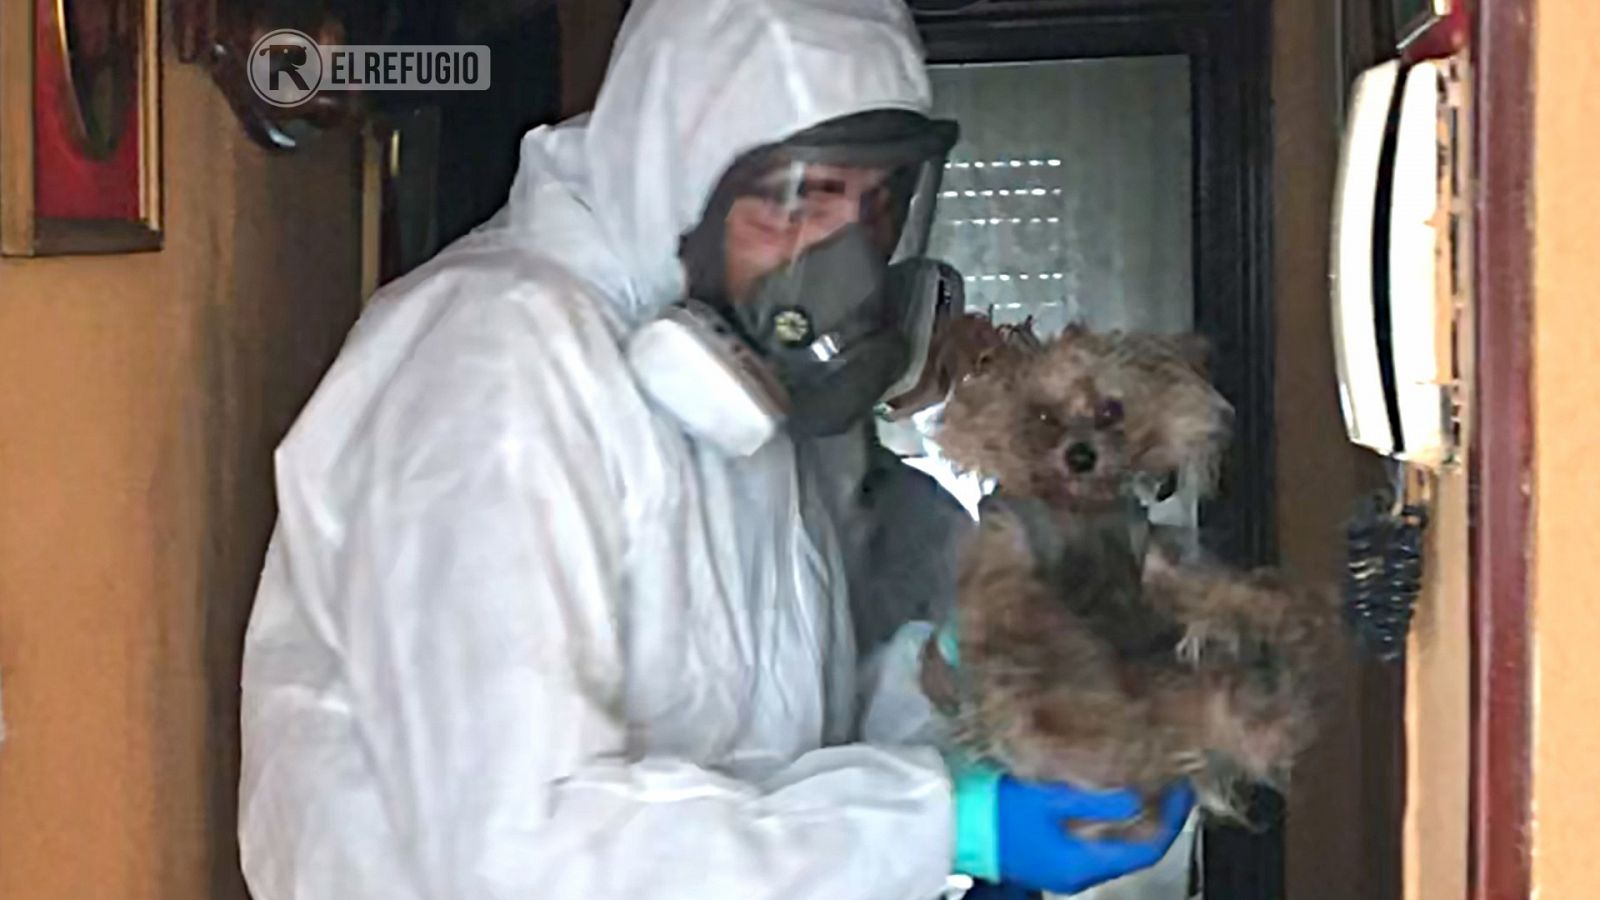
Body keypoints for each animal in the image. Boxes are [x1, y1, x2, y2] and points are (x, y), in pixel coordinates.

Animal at [921, 320, 1344, 832]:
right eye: (1043, 417)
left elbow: (1214, 592)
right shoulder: (1007, 570)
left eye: (1110, 411)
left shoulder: (1156, 560)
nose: (1081, 455)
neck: (1078, 508)